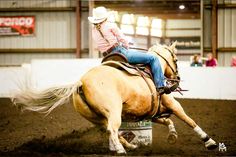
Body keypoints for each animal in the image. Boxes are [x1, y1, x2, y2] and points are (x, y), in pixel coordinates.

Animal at [13, 42, 218, 154]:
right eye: (175, 60)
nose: (176, 79)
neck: (153, 69)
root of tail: (81, 82)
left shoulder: (151, 114)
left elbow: (168, 121)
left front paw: (173, 135)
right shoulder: (172, 103)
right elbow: (188, 119)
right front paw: (209, 141)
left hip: (97, 118)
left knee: (111, 131)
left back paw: (129, 147)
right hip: (113, 112)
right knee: (113, 129)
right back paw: (121, 149)